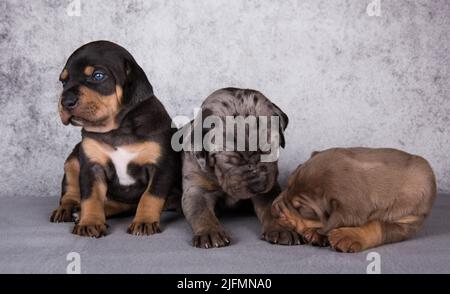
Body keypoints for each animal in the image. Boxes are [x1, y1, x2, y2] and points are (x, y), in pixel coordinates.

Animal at [49, 40, 181, 237]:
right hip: (72, 160)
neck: (117, 129)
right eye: (64, 82)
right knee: (71, 192)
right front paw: (89, 222)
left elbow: (150, 196)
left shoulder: (161, 167)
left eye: (98, 75)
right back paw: (69, 209)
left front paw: (144, 221)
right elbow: (91, 197)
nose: (66, 101)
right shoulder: (92, 166)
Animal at [180, 88, 302, 248]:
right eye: (230, 159)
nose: (258, 184)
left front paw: (282, 229)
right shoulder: (196, 189)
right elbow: (201, 212)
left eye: (270, 149)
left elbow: (272, 207)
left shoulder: (269, 189)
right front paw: (210, 232)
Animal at [270, 148, 436, 252]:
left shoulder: (409, 222)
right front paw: (317, 234)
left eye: (302, 209)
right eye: (288, 185)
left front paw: (347, 236)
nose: (274, 209)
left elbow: (378, 225)